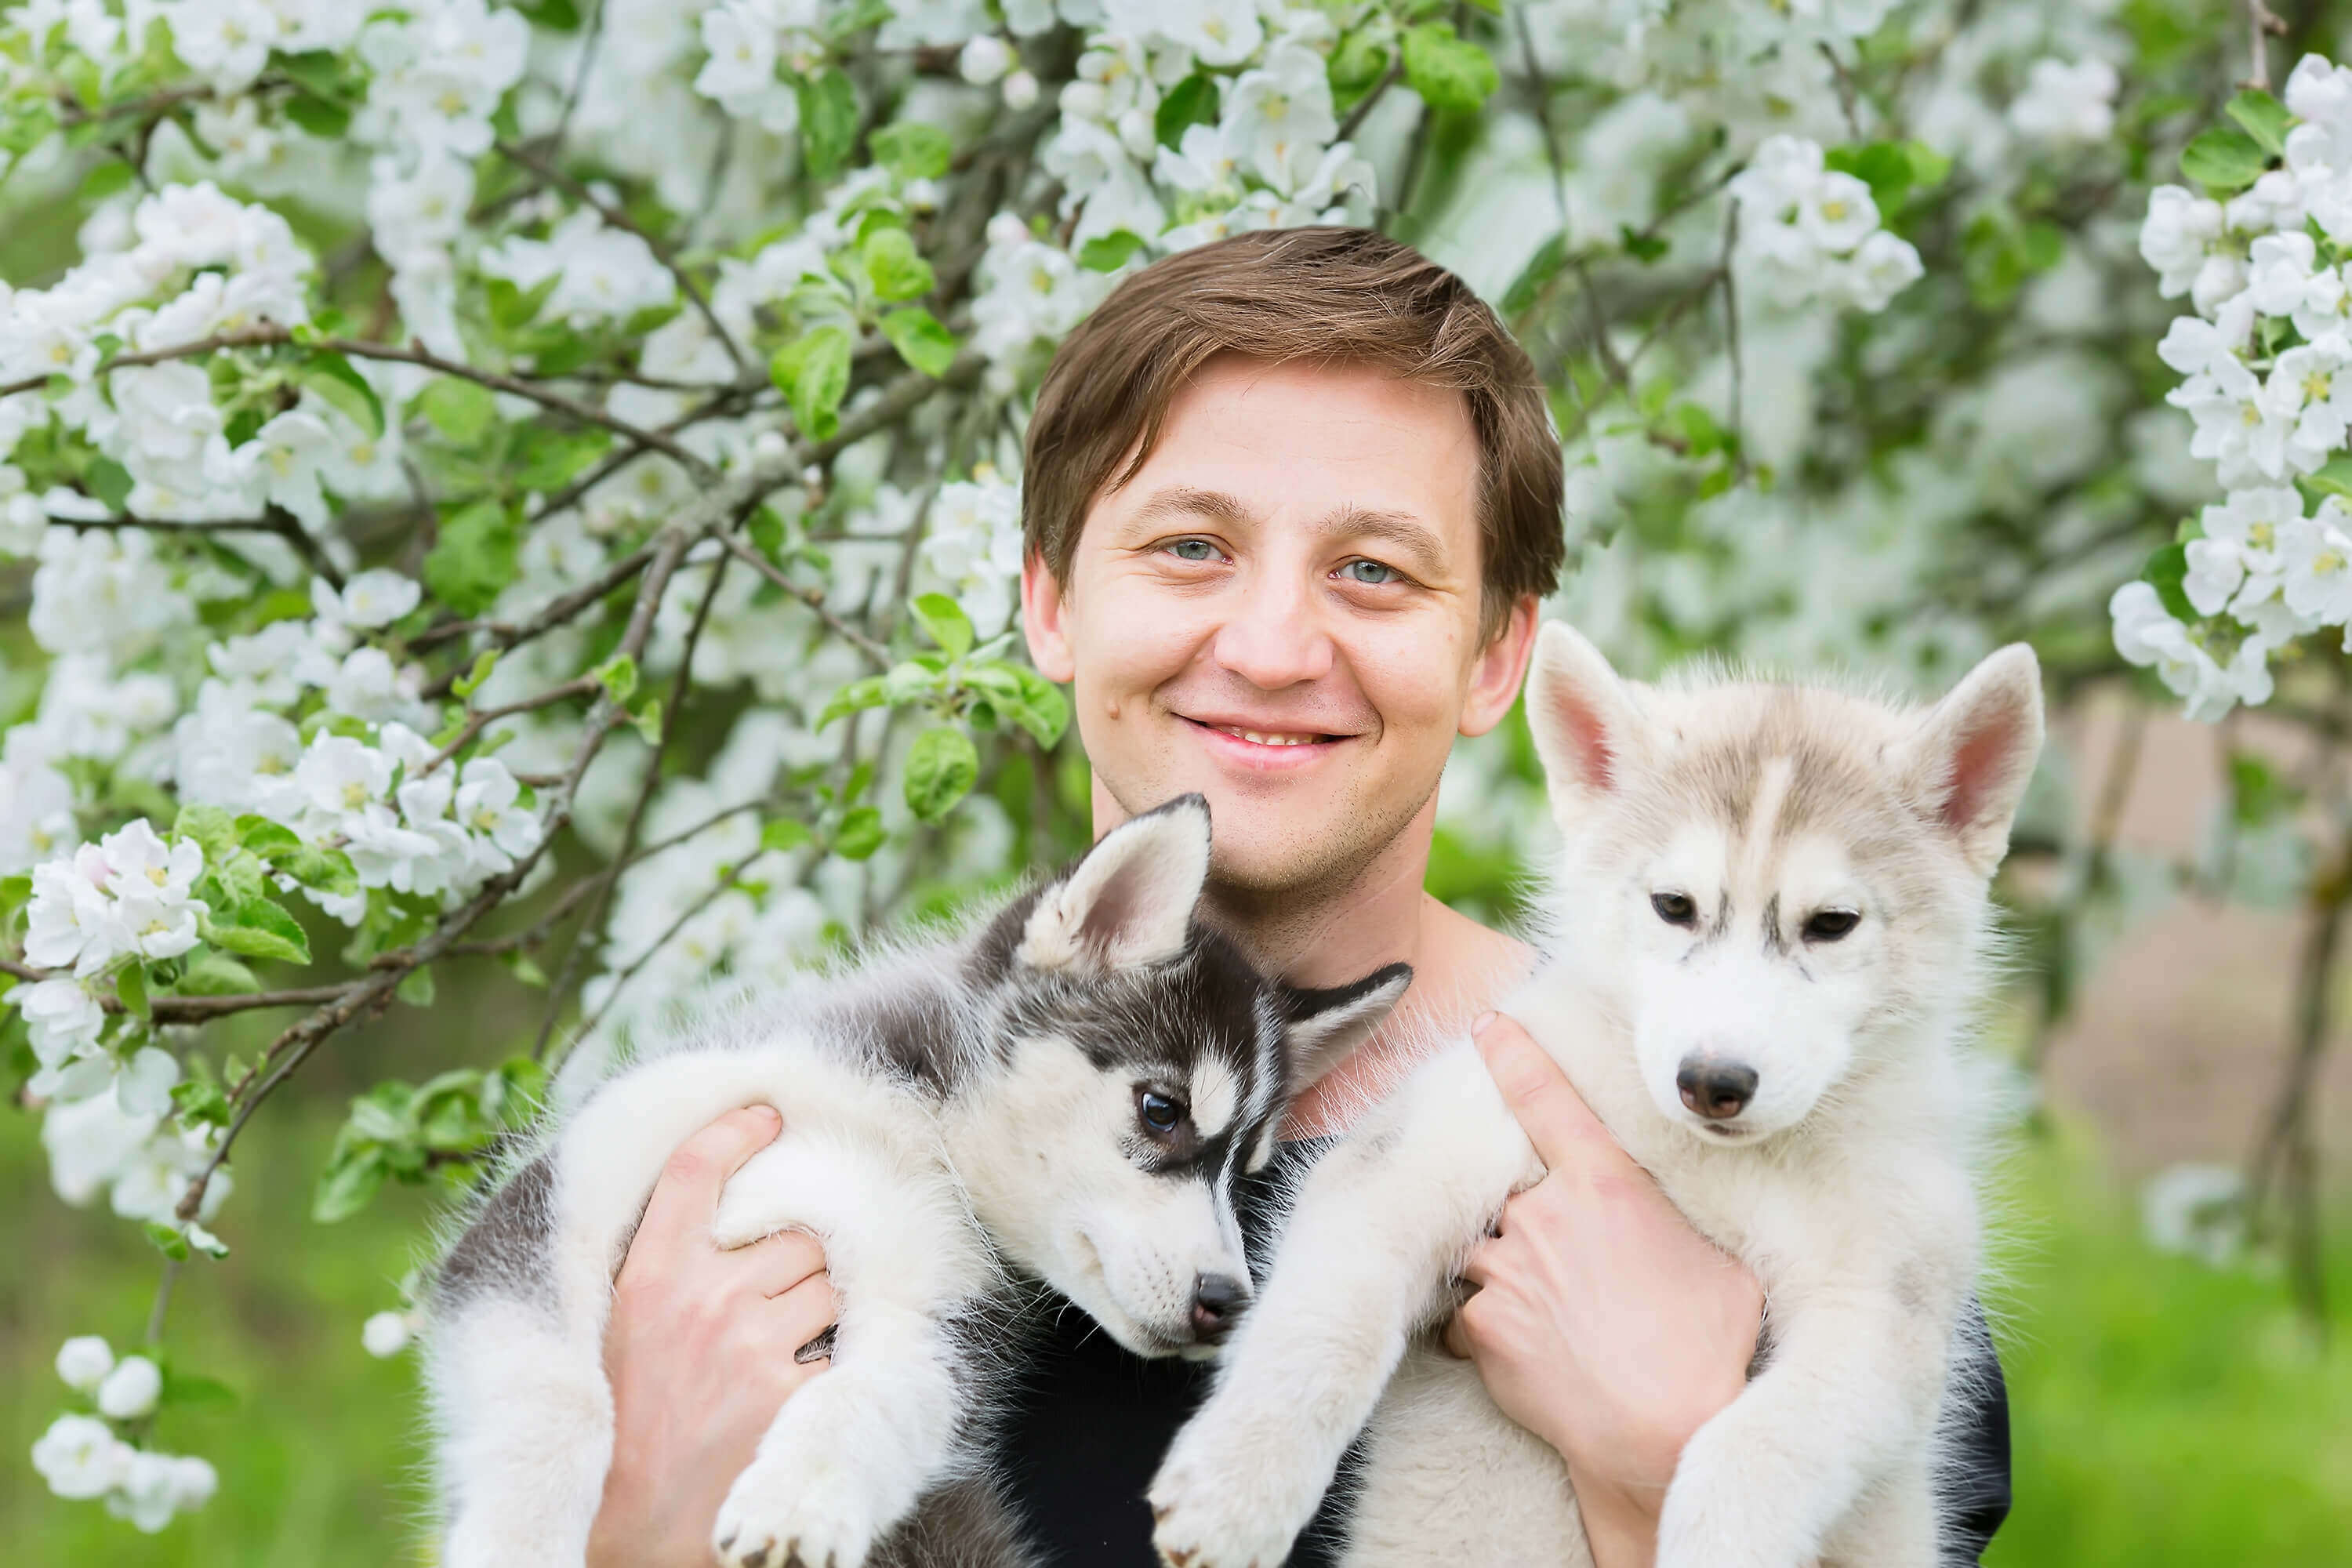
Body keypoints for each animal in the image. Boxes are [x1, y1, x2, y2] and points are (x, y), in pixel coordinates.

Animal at [416, 799, 1402, 1568]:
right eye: (1161, 1109)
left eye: (1252, 1172)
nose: (1229, 1301)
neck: (909, 1133)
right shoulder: (551, 1203)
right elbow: (561, 1403)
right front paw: (518, 1536)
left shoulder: (942, 1327)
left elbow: (870, 1401)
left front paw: (800, 1496)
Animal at [1143, 625, 2042, 1568]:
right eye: (1674, 905)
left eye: (1833, 924)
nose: (1713, 1081)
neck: (1714, 1165)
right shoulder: (1430, 1142)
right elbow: (1326, 1318)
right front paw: (1240, 1482)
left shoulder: (1891, 1304)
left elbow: (1767, 1439)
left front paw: (1719, 1539)